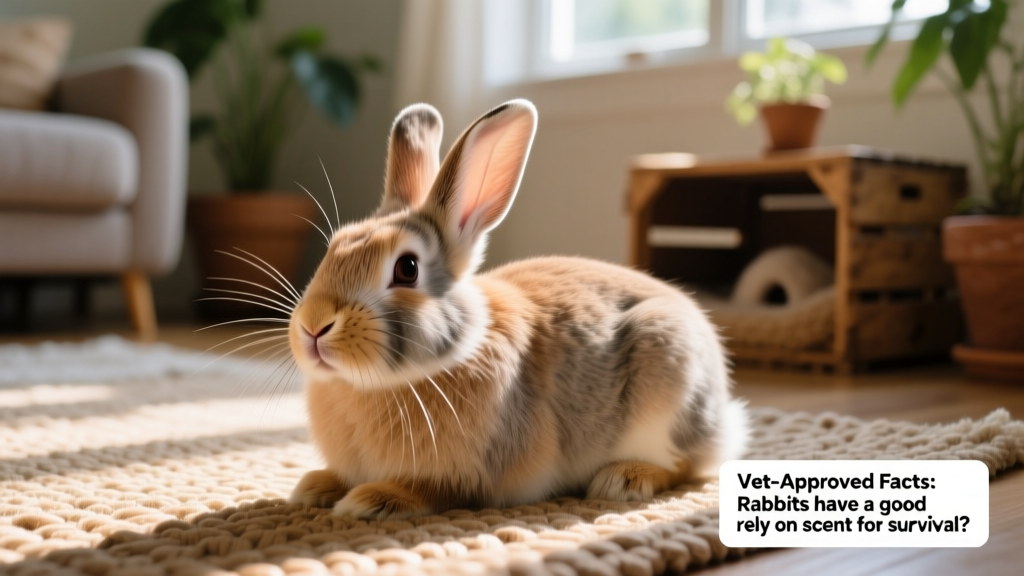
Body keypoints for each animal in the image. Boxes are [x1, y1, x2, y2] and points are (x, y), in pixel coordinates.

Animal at [288, 99, 748, 520]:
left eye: (407, 269)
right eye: (332, 249)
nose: (314, 326)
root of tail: (723, 415)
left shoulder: (467, 476)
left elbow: (433, 492)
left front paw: (371, 501)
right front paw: (314, 487)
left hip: (668, 381)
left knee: (686, 464)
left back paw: (625, 479)